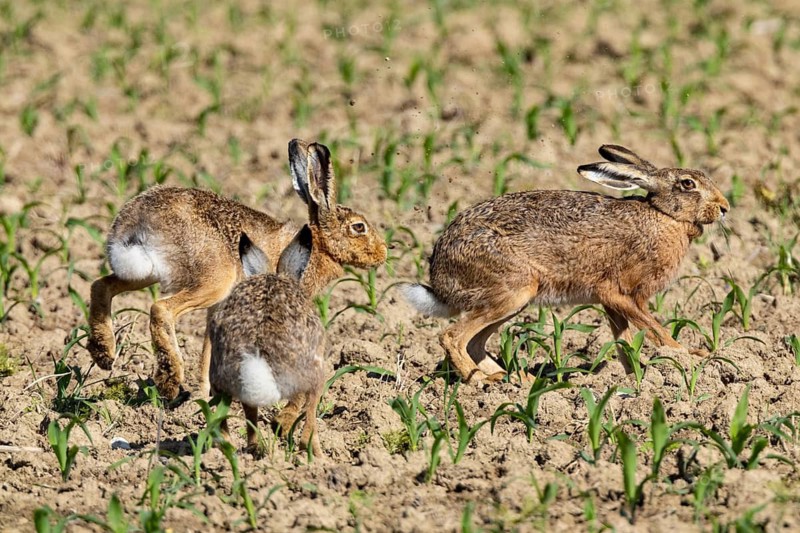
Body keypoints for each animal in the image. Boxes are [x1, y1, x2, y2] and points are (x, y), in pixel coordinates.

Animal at [87, 139, 387, 401]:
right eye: (358, 227)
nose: (383, 252)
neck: (318, 244)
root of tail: (138, 221)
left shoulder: (219, 308)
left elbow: (209, 347)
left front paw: (205, 396)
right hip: (213, 279)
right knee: (160, 309)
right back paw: (169, 381)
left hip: (147, 273)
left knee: (101, 285)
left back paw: (104, 353)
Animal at [401, 144, 730, 383]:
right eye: (687, 184)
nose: (724, 207)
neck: (664, 217)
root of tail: (440, 280)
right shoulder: (620, 293)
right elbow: (656, 330)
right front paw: (689, 355)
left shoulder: (613, 303)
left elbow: (624, 344)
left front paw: (632, 379)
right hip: (512, 290)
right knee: (452, 337)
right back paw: (481, 381)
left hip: (513, 299)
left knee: (475, 343)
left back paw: (513, 380)